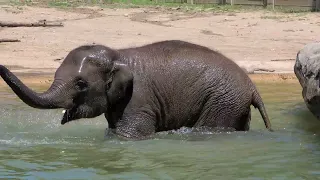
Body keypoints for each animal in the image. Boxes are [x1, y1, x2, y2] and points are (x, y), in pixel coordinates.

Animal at [0, 40, 274, 140]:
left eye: (81, 84)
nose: (1, 63)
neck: (118, 55)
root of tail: (252, 87)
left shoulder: (138, 100)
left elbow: (129, 134)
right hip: (234, 104)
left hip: (222, 100)